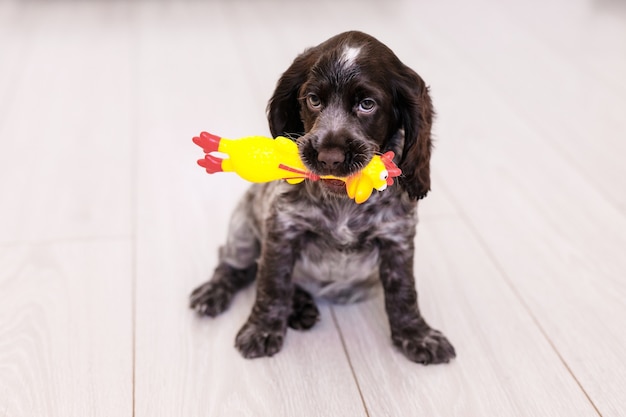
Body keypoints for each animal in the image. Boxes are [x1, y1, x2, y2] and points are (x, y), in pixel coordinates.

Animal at [190, 31, 454, 364]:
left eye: (367, 104)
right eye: (313, 100)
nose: (329, 157)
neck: (343, 204)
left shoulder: (397, 239)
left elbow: (404, 292)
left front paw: (417, 335)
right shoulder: (282, 230)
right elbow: (272, 284)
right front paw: (262, 330)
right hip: (242, 225)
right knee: (234, 264)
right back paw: (216, 293)